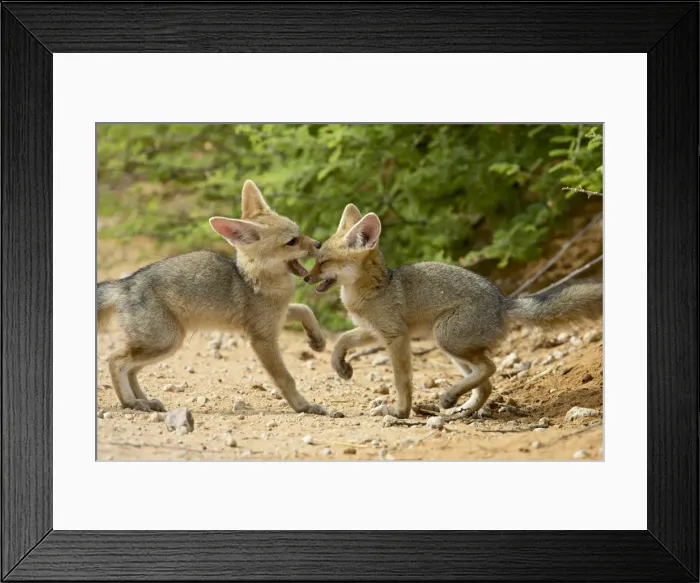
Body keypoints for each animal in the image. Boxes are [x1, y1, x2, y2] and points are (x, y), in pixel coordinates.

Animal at [97, 180, 328, 415]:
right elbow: (285, 378)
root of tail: (126, 283)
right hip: (165, 342)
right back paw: (130, 402)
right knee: (115, 360)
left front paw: (317, 340)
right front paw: (303, 406)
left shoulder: (278, 316)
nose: (319, 244)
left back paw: (144, 401)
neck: (250, 278)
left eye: (300, 233)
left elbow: (304, 309)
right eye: (292, 242)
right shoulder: (262, 338)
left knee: (131, 370)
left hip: (160, 345)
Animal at [304, 204, 603, 419]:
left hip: (446, 340)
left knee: (490, 367)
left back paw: (450, 398)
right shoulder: (373, 331)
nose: (306, 277)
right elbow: (342, 340)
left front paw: (400, 412)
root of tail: (502, 300)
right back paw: (464, 409)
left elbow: (402, 380)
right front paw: (340, 366)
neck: (377, 287)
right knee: (486, 382)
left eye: (324, 262)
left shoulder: (396, 336)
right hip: (453, 350)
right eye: (316, 261)